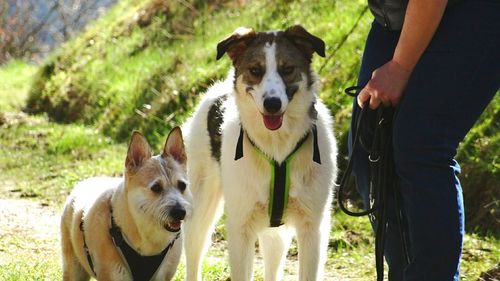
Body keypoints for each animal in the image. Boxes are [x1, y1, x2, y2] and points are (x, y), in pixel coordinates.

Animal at [182, 25, 338, 278]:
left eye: (287, 69)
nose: (272, 104)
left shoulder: (312, 228)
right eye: (255, 70)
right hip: (199, 210)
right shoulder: (241, 229)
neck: (277, 147)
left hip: (276, 234)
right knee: (193, 256)